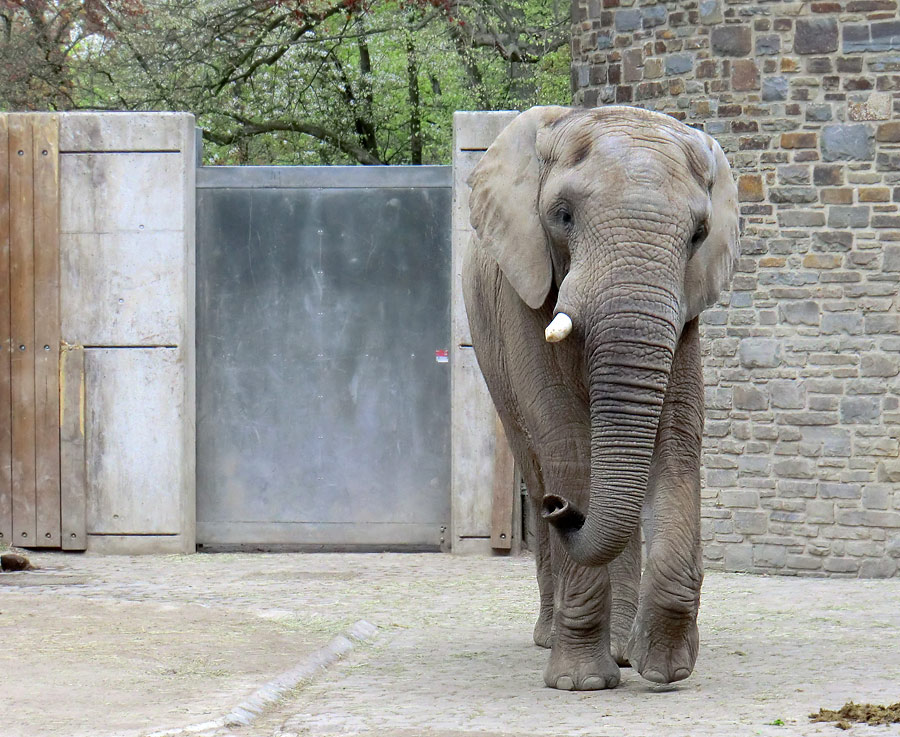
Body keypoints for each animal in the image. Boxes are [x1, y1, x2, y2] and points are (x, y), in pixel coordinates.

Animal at [464, 105, 740, 688]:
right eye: (562, 216)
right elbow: (567, 441)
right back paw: (552, 638)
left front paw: (664, 668)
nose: (560, 510)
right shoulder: (524, 292)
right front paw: (581, 683)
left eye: (699, 234)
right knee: (537, 462)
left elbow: (675, 439)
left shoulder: (686, 309)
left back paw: (623, 650)